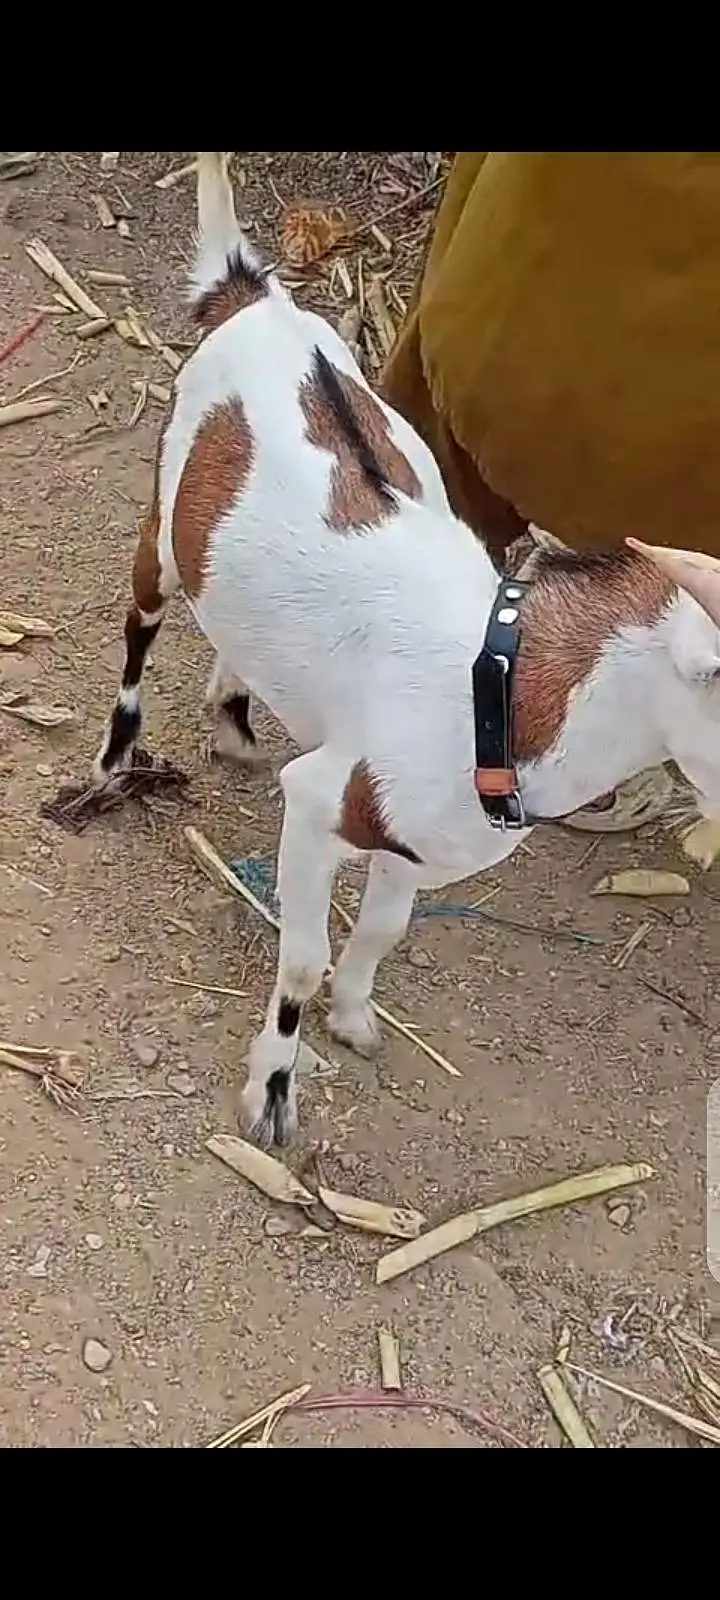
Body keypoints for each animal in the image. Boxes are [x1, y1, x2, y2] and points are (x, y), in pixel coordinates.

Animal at [92, 152, 720, 1148]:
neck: (495, 688)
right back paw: (115, 759)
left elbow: (382, 932)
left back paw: (234, 718)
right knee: (141, 624)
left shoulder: (416, 844)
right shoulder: (318, 803)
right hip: (163, 519)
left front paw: (354, 1021)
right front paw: (272, 1094)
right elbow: (302, 957)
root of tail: (253, 299)